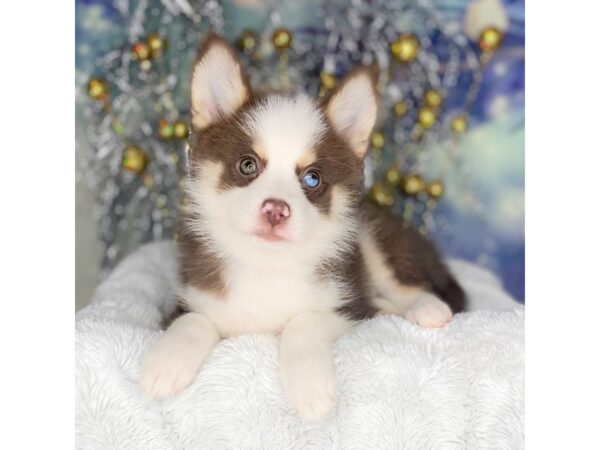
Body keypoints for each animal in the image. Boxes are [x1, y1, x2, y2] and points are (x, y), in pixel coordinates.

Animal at [139, 35, 464, 422]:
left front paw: (310, 387)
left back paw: (427, 309)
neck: (265, 266)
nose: (276, 210)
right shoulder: (188, 298)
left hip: (375, 240)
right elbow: (194, 320)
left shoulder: (351, 310)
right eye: (247, 165)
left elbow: (303, 321)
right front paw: (166, 362)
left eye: (312, 178)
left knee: (409, 284)